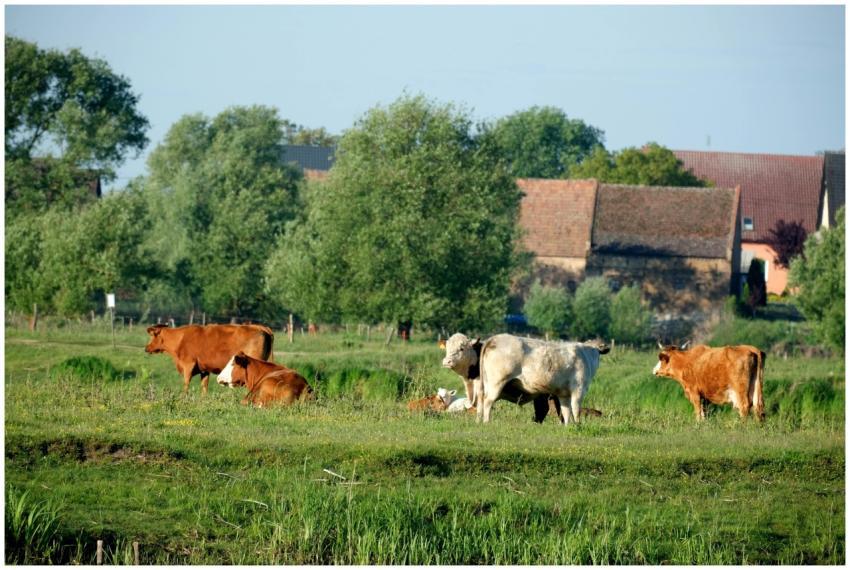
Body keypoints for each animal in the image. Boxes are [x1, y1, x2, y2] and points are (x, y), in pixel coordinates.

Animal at [145, 324, 274, 394]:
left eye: (153, 336)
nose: (146, 347)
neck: (180, 339)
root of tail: (260, 327)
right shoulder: (204, 369)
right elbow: (204, 386)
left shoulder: (188, 365)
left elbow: (186, 383)